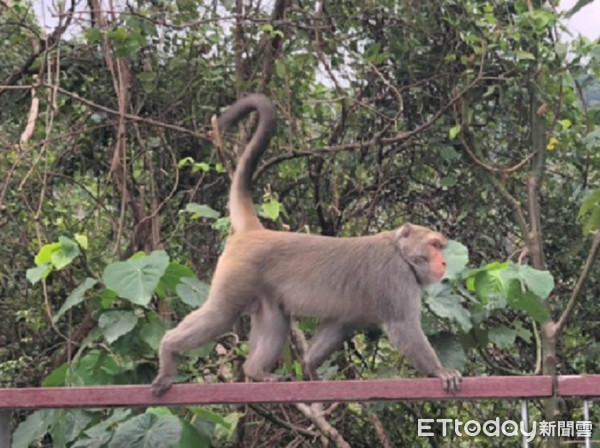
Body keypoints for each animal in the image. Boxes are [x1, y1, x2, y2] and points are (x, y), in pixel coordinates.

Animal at [152, 94, 462, 396]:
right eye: (434, 245)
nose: (444, 262)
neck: (400, 252)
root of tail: (256, 232)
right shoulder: (395, 278)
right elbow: (403, 328)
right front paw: (440, 371)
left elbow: (339, 324)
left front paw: (310, 364)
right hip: (237, 274)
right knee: (219, 315)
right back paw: (168, 349)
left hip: (263, 291)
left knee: (276, 320)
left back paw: (256, 371)